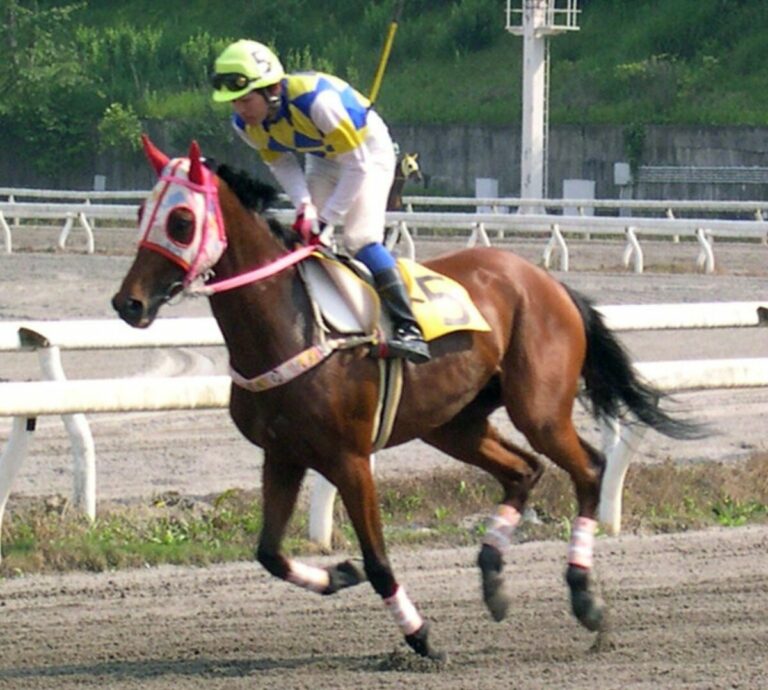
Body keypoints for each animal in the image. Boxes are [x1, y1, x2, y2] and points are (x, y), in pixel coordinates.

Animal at [112, 136, 705, 661]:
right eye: (141, 210)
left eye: (181, 220)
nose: (127, 303)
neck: (293, 325)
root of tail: (548, 282)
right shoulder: (282, 455)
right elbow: (269, 554)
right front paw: (339, 573)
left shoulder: (349, 459)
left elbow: (379, 561)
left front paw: (420, 636)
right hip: (453, 423)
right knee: (523, 470)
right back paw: (493, 578)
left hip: (537, 408)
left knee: (589, 469)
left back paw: (584, 596)